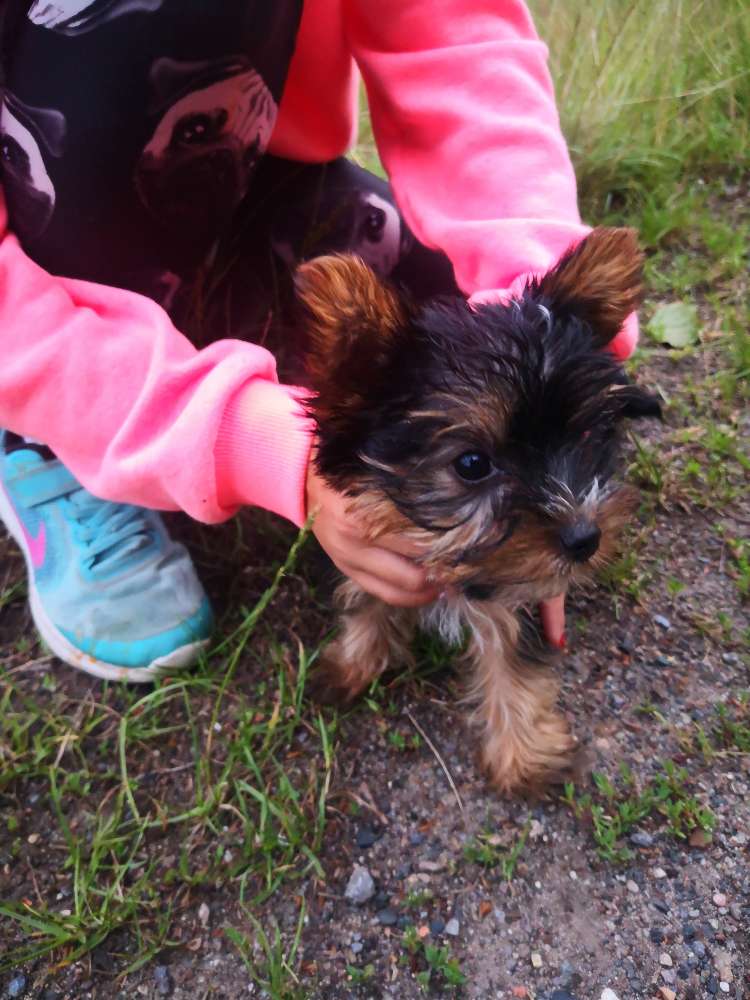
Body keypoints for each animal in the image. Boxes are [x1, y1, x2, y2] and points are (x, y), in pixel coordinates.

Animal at [296, 229, 660, 796]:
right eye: (472, 464)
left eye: (582, 435)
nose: (585, 537)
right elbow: (365, 599)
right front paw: (354, 661)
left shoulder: (514, 585)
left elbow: (513, 654)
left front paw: (525, 755)